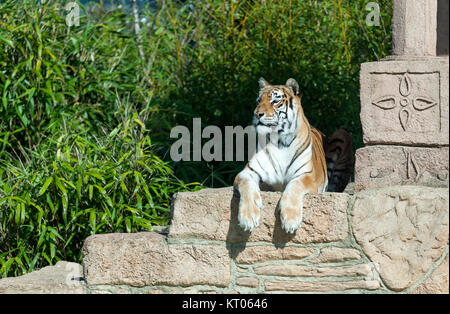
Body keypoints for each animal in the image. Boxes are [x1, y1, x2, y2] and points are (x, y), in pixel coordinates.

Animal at [234, 76, 354, 233]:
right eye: (258, 101)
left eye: (275, 100)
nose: (257, 115)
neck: (278, 140)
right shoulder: (247, 172)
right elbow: (247, 185)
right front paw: (248, 217)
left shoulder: (306, 176)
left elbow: (294, 185)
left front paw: (290, 220)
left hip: (342, 133)